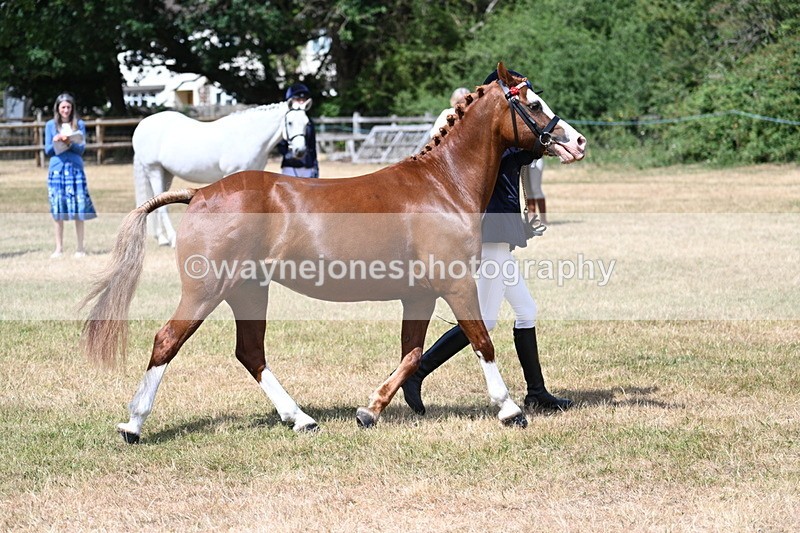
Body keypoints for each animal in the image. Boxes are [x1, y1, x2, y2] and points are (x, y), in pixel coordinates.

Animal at [132, 100, 311, 246]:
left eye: (306, 123)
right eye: (290, 122)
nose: (300, 151)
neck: (247, 136)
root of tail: (142, 125)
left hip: (166, 172)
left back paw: (161, 237)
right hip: (154, 169)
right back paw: (171, 239)